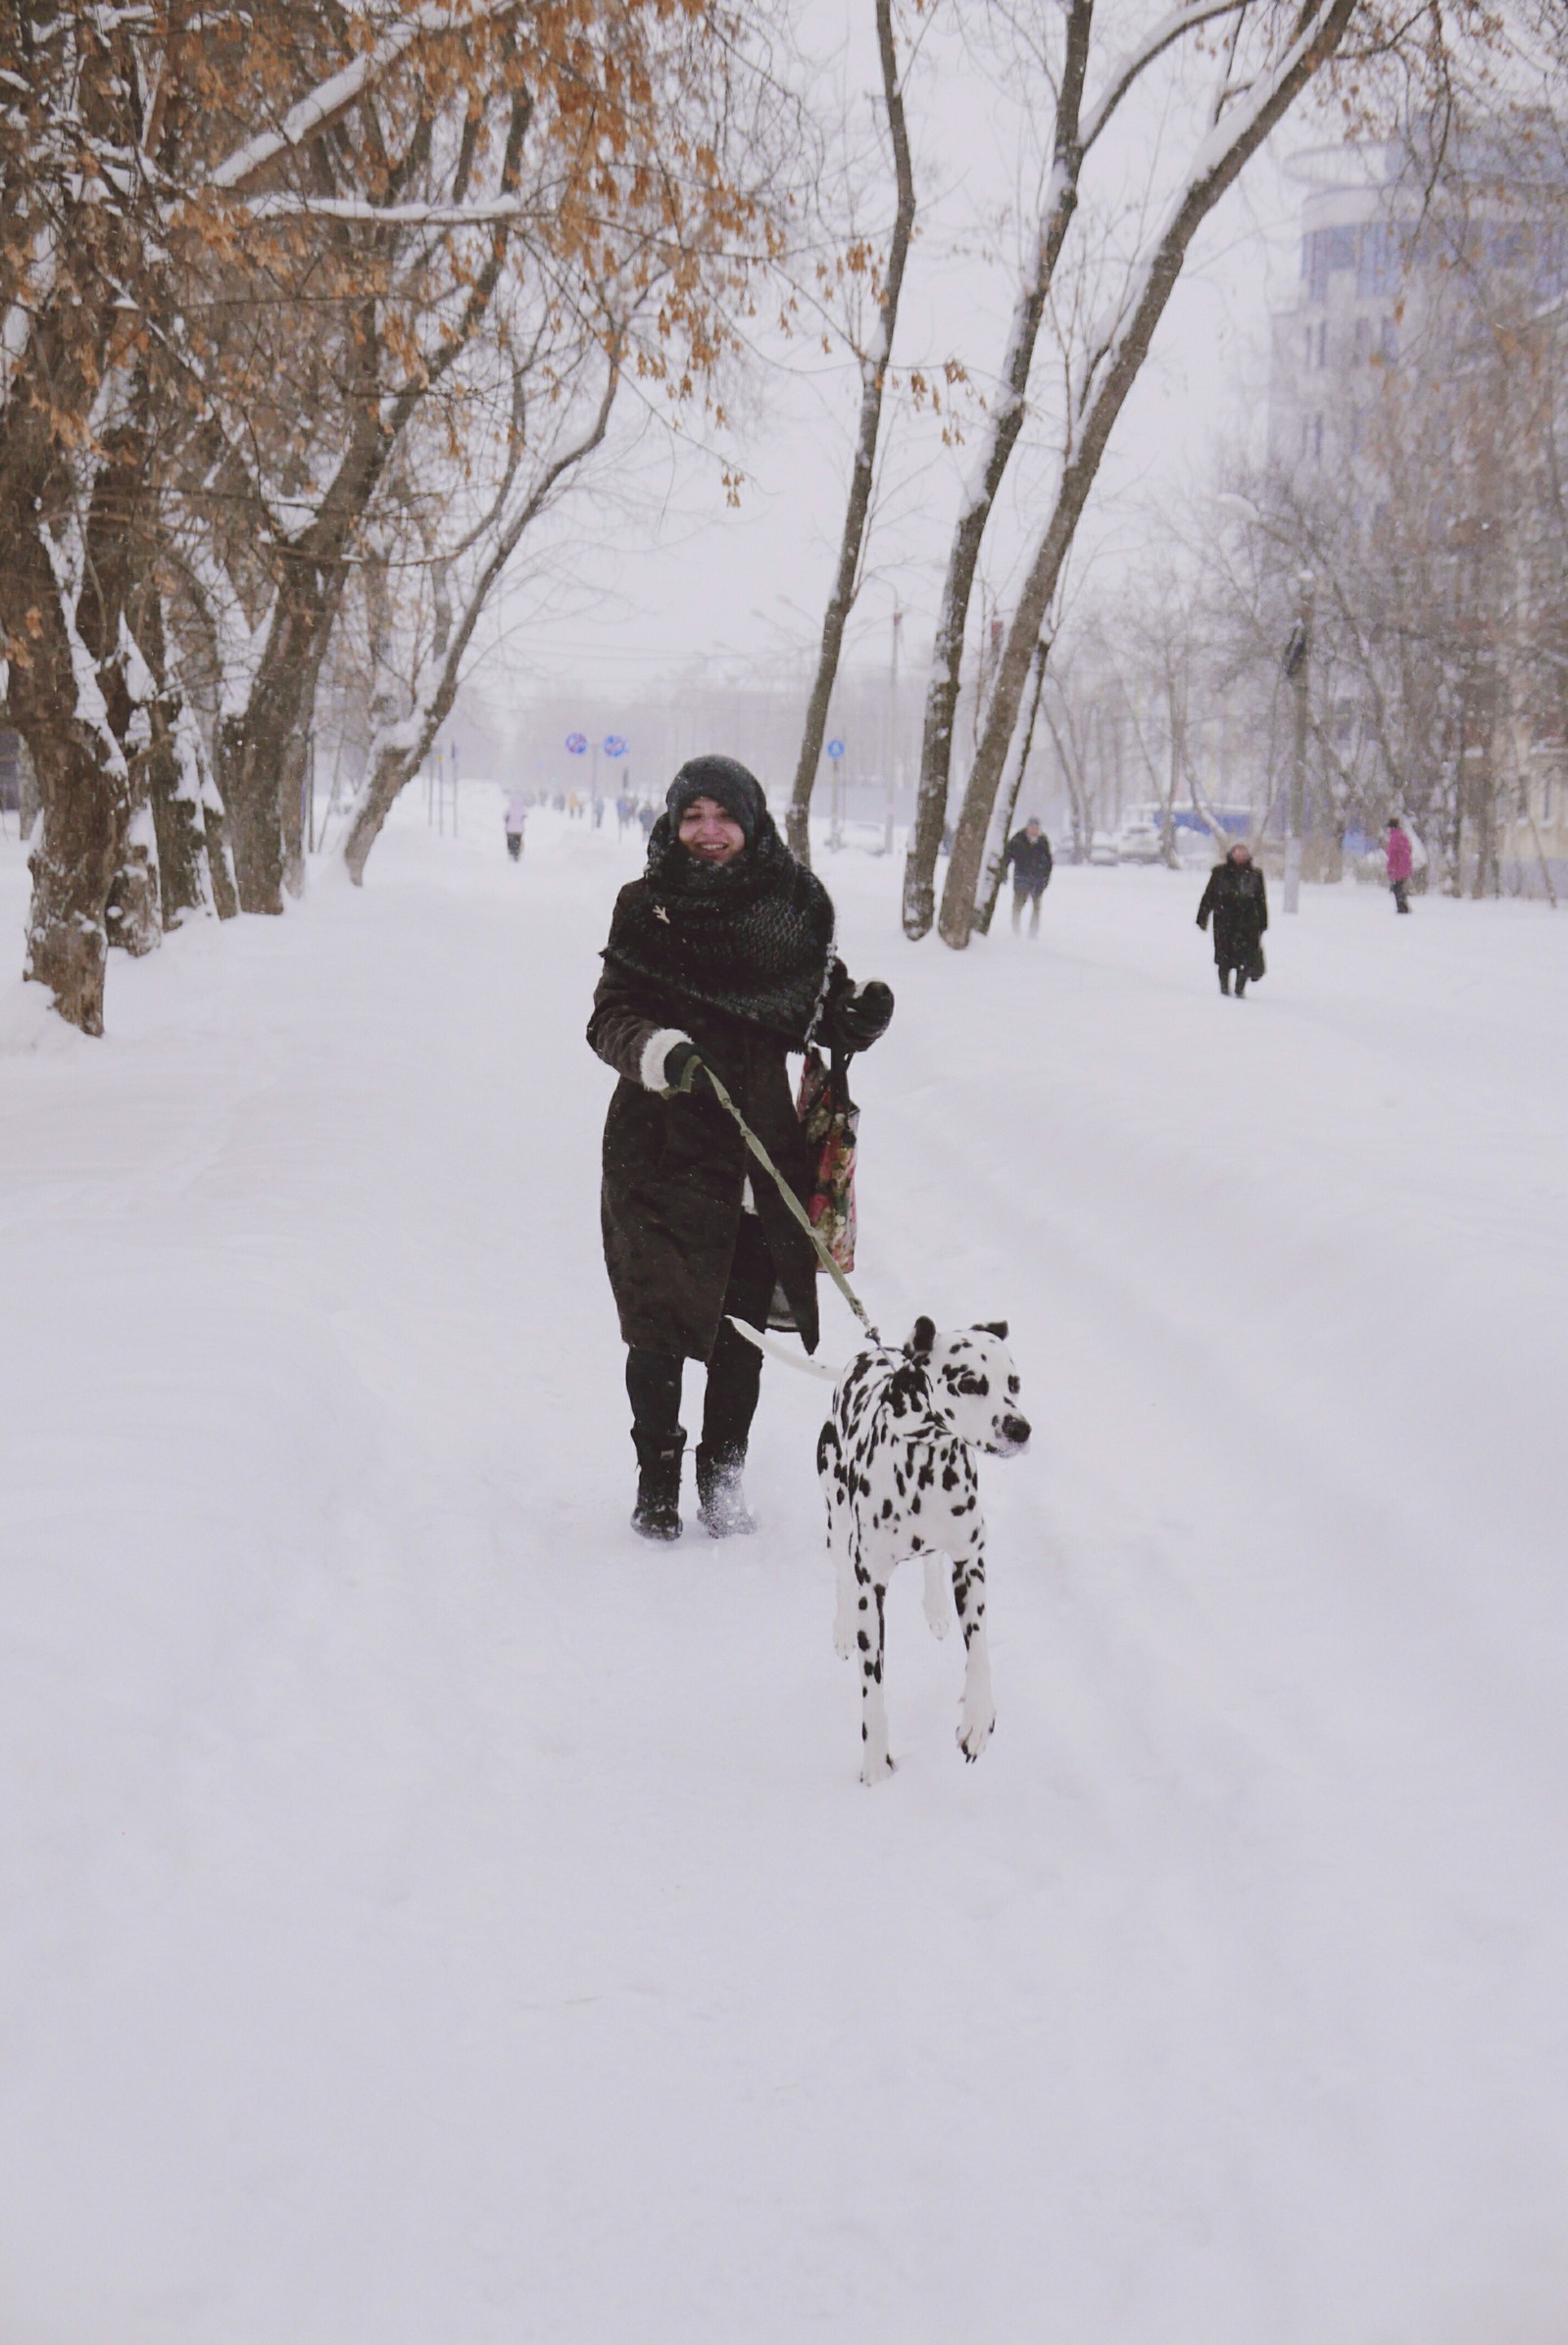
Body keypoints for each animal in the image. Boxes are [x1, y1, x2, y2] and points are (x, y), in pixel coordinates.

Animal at [820, 1322, 1026, 1773]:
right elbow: (873, 1686)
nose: (1019, 1429)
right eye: (969, 1383)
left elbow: (979, 1650)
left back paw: (936, 1608)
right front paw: (876, 1764)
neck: (924, 1460)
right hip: (837, 1513)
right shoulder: (871, 1589)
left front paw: (977, 1718)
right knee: (841, 1570)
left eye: (1014, 1382)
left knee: (932, 1559)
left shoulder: (971, 1561)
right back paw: (841, 1629)